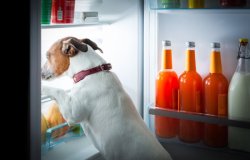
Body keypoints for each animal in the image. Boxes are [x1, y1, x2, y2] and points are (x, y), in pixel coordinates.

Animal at [42, 37, 173, 159]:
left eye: (47, 55)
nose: (40, 72)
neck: (90, 72)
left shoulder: (72, 113)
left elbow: (58, 91)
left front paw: (42, 88)